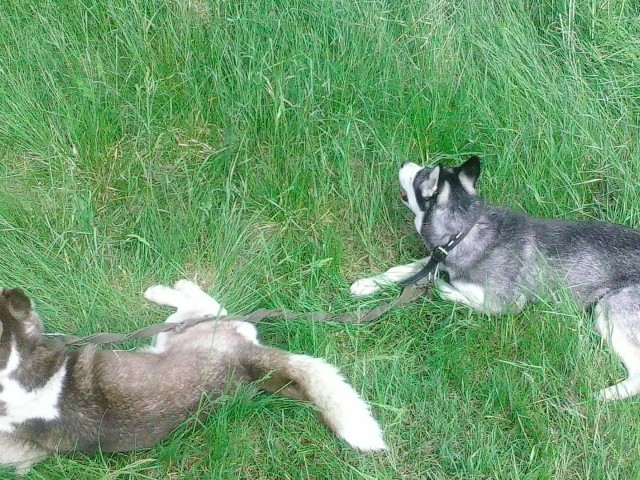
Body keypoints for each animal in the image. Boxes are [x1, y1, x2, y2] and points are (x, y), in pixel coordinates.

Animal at [352, 157, 640, 402]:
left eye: (419, 175)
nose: (403, 163)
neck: (466, 229)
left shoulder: (506, 303)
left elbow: (464, 295)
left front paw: (441, 288)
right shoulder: (438, 257)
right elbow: (402, 270)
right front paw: (368, 284)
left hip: (609, 309)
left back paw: (605, 395)